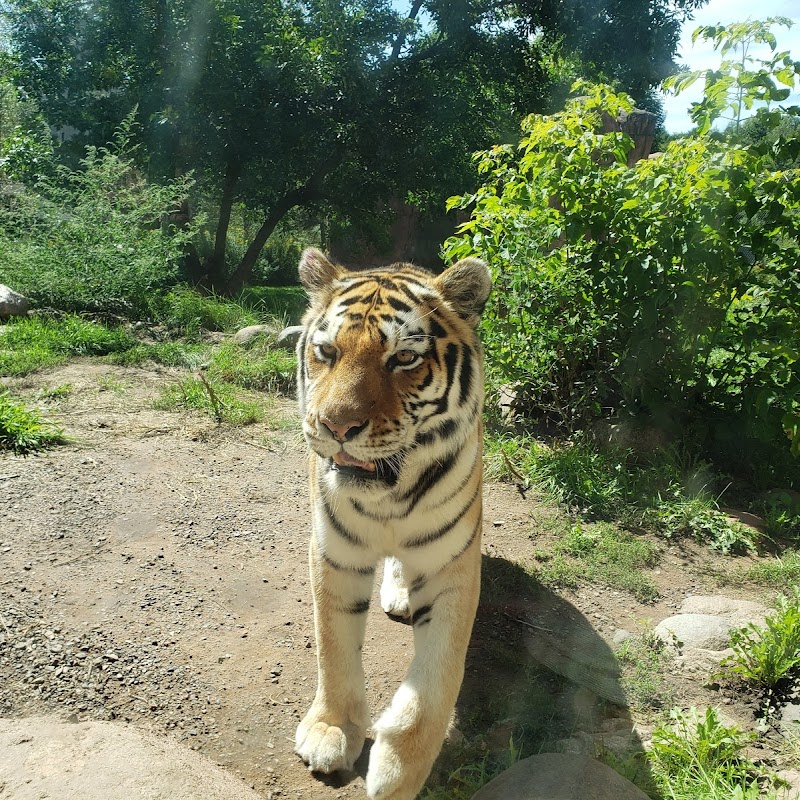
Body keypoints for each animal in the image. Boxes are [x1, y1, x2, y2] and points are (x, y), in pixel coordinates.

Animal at [294, 247, 490, 796]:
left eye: (404, 358)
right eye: (326, 352)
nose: (336, 426)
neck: (389, 500)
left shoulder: (451, 568)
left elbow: (435, 682)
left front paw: (398, 773)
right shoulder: (335, 555)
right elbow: (334, 648)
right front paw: (331, 731)